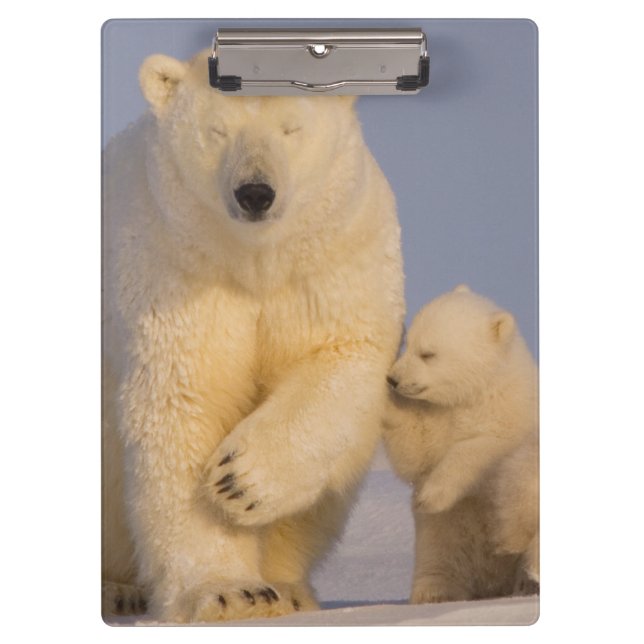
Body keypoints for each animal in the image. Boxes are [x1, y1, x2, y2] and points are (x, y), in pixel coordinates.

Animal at [102, 49, 405, 623]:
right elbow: (186, 402)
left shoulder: (332, 256)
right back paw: (118, 589)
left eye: (291, 128)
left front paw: (239, 480)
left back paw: (289, 588)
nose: (256, 193)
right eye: (217, 130)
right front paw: (229, 593)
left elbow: (340, 357)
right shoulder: (175, 266)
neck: (254, 261)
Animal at [382, 285, 538, 603]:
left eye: (428, 353)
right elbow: (414, 451)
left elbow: (482, 451)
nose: (393, 379)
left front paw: (430, 495)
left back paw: (524, 585)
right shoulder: (435, 418)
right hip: (442, 538)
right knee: (440, 561)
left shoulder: (512, 418)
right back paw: (433, 593)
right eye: (408, 342)